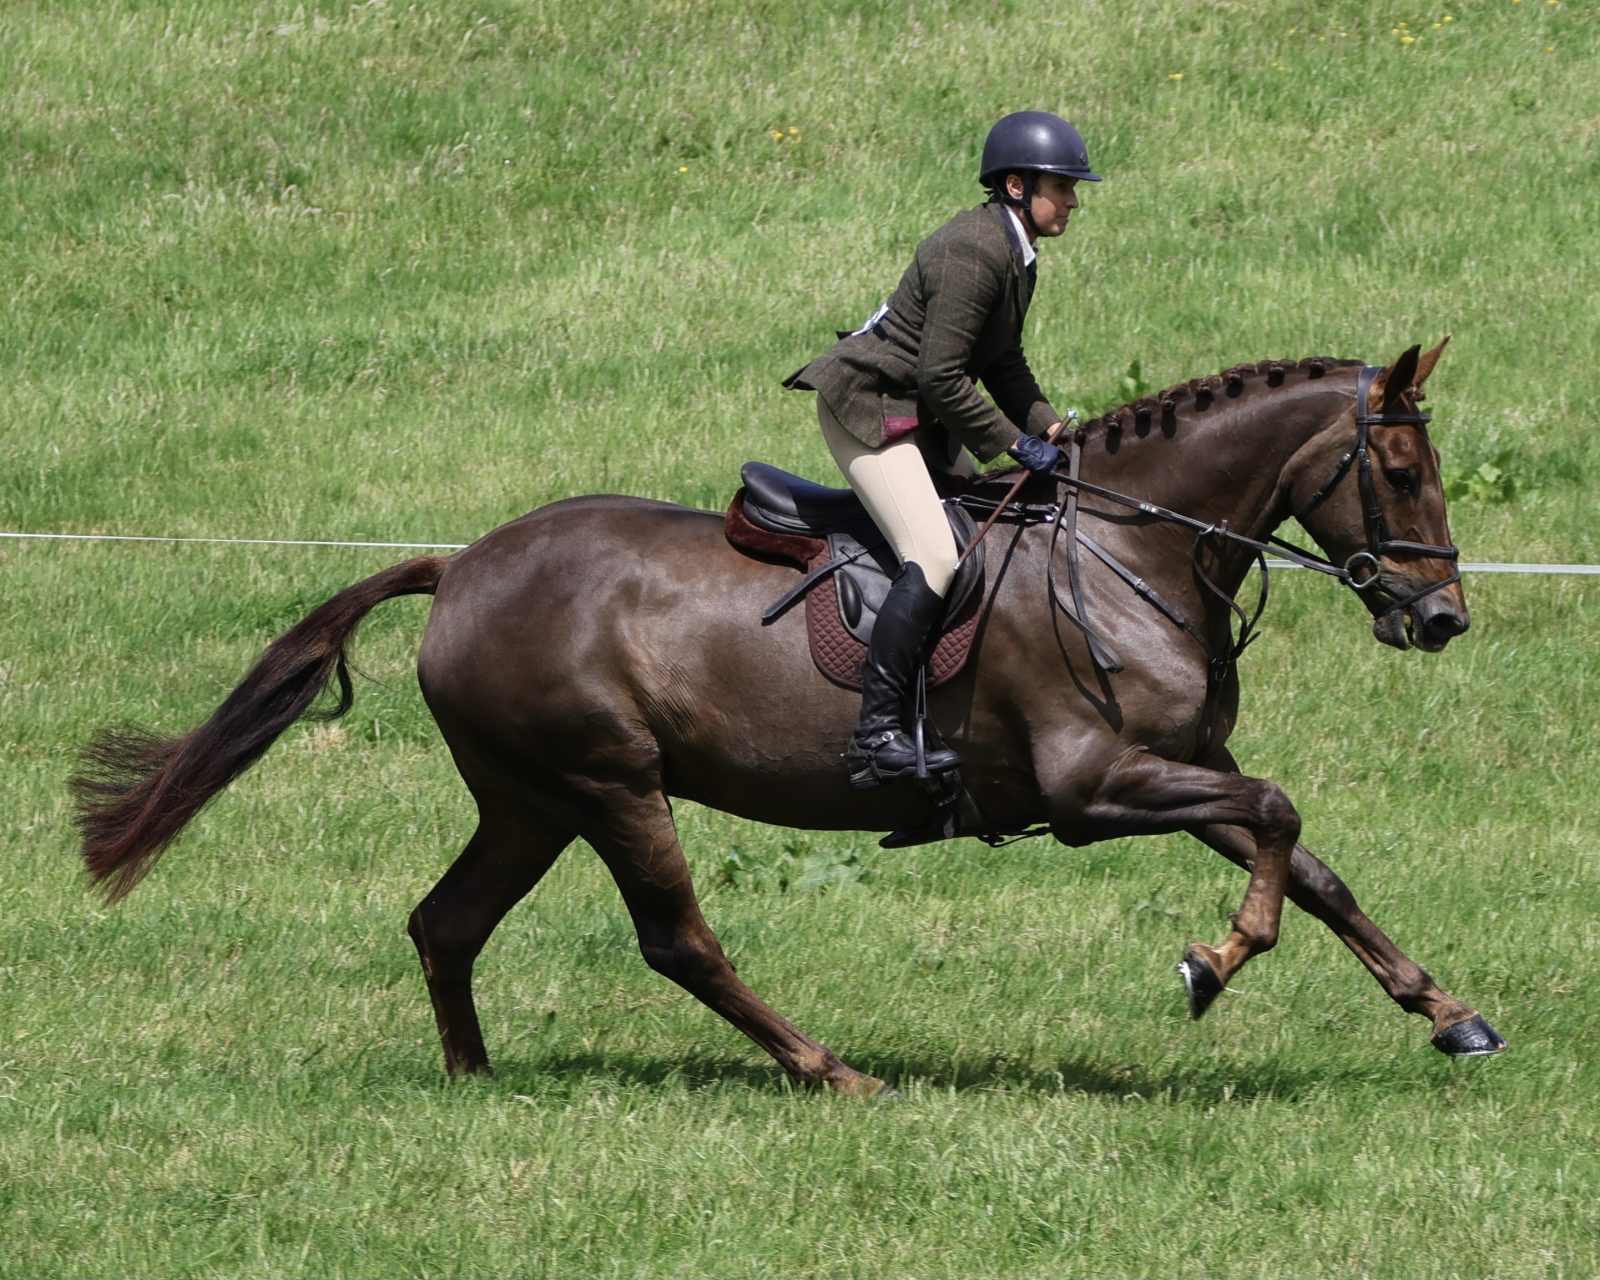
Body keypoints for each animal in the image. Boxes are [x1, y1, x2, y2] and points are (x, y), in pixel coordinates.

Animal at [71, 340, 1504, 1097]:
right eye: (1395, 469)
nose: (1440, 618)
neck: (1133, 545)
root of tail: (463, 563)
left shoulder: (1175, 760)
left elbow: (1311, 862)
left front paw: (1447, 1012)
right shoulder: (1095, 784)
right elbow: (1279, 819)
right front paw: (1213, 962)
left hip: (529, 798)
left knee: (447, 920)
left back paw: (476, 1079)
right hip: (609, 784)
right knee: (677, 937)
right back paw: (827, 1069)